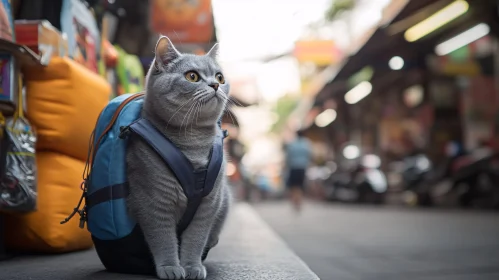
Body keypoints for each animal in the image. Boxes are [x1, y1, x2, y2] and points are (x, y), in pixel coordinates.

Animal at [127, 36, 232, 278]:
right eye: (192, 76)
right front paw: (170, 268)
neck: (194, 145)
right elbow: (164, 240)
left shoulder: (209, 205)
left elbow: (195, 240)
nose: (215, 85)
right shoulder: (153, 202)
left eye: (220, 77)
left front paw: (192, 267)